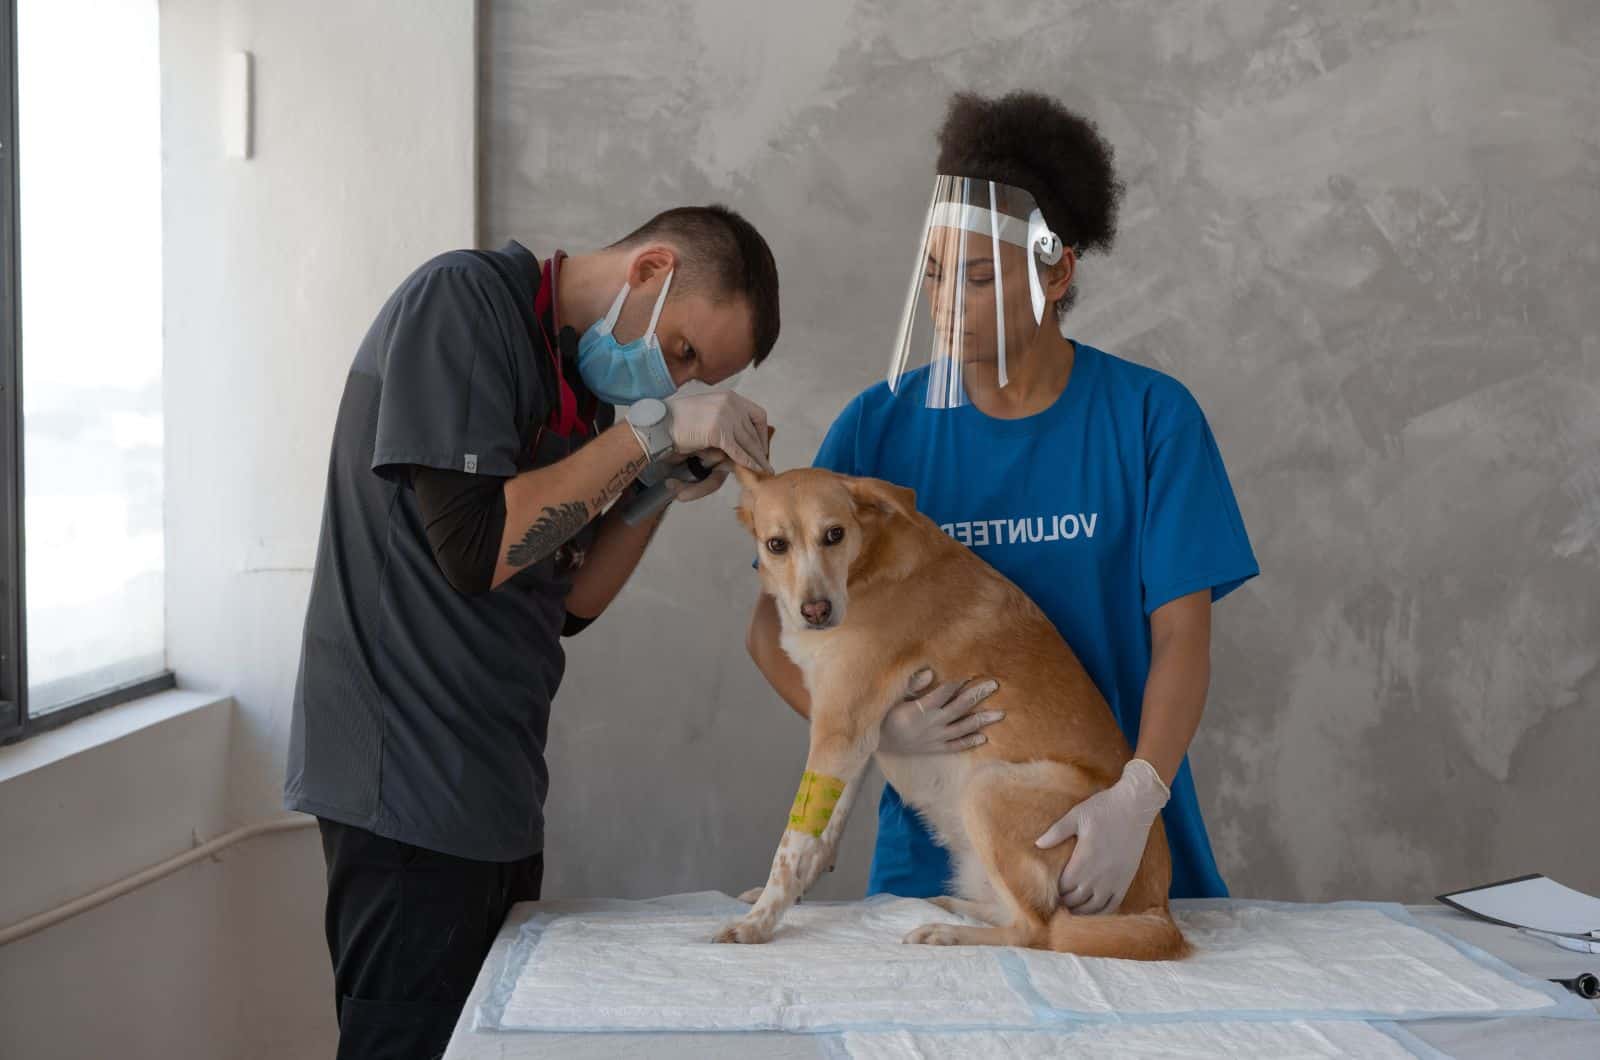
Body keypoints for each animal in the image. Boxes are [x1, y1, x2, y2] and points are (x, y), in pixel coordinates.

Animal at [723, 464, 1190, 960]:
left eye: (834, 534)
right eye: (777, 544)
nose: (816, 611)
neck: (866, 568)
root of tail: (1161, 911)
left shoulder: (840, 731)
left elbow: (791, 845)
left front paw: (757, 923)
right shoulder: (856, 736)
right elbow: (820, 831)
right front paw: (778, 900)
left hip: (987, 788)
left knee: (1038, 930)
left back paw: (946, 932)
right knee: (1017, 914)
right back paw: (949, 905)